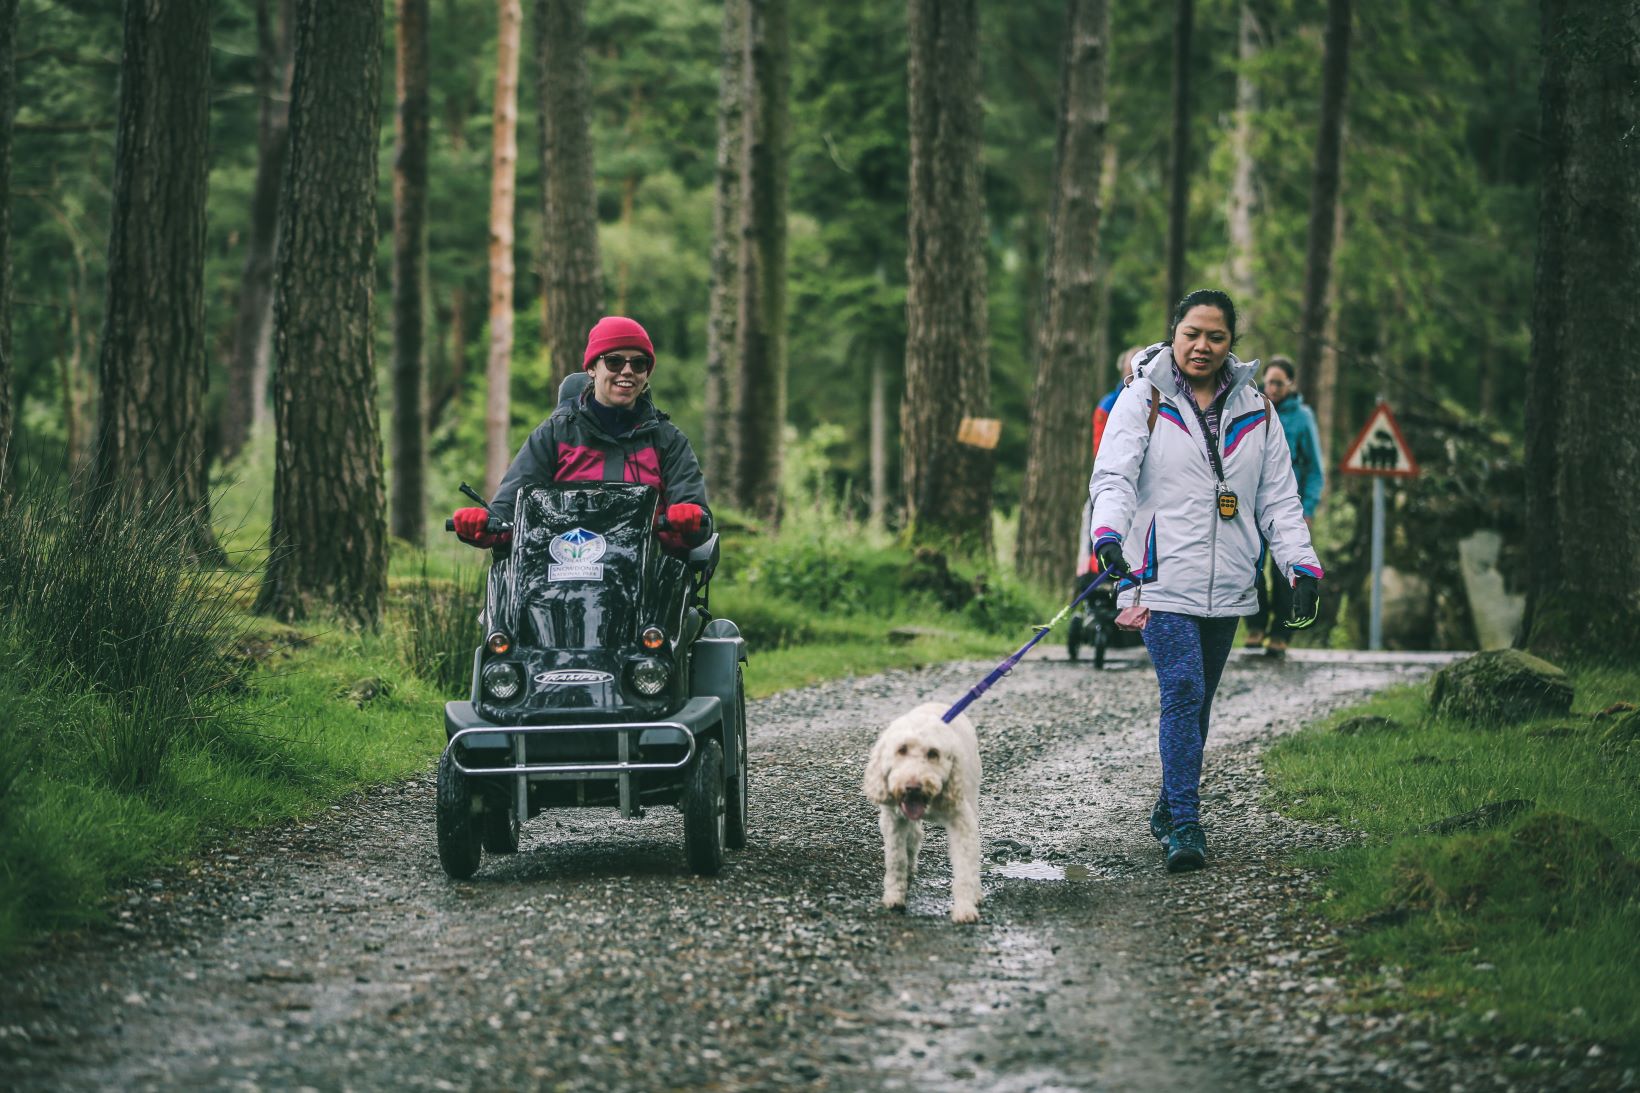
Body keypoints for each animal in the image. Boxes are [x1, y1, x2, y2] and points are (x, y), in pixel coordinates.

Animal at [865, 699, 977, 919]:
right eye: (901, 749)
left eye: (933, 753)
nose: (913, 787)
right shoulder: (893, 820)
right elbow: (896, 859)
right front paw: (895, 896)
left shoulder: (962, 822)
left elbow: (965, 866)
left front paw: (965, 908)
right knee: (914, 836)